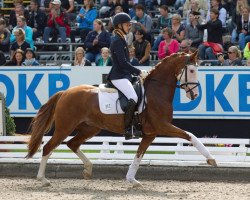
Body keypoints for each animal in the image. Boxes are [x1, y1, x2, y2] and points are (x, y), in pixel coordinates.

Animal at [25, 51, 217, 186]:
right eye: (191, 70)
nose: (195, 95)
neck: (157, 91)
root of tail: (65, 92)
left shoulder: (150, 133)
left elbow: (139, 155)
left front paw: (132, 180)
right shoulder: (162, 126)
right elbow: (190, 135)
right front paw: (211, 159)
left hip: (91, 127)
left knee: (72, 144)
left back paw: (88, 170)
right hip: (65, 126)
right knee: (48, 147)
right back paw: (43, 179)